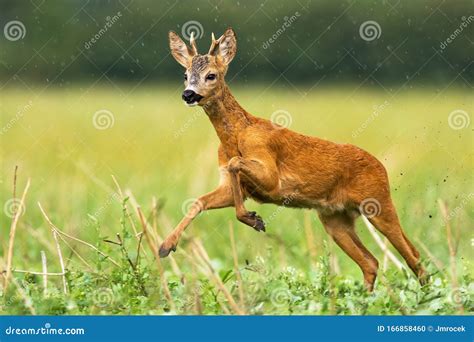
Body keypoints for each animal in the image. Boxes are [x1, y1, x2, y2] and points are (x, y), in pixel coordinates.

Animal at [161, 27, 428, 292]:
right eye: (185, 75)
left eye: (211, 75)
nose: (188, 94)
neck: (235, 138)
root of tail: (381, 166)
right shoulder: (230, 184)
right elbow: (199, 201)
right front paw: (165, 246)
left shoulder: (271, 175)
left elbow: (236, 164)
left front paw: (253, 219)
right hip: (334, 218)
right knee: (370, 262)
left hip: (378, 201)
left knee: (413, 255)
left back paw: (425, 294)